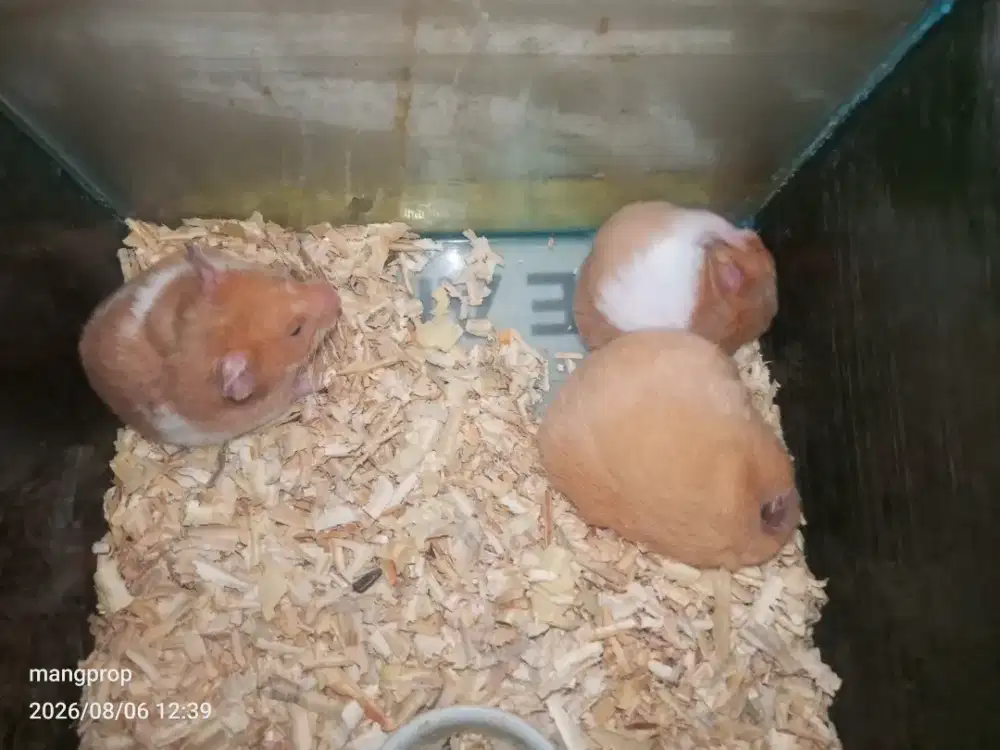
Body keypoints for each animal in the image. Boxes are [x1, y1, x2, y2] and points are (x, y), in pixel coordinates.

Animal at [78, 241, 342, 448]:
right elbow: (301, 386)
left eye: (281, 280)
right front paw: (328, 376)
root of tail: (82, 351)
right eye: (296, 331)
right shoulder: (276, 399)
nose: (337, 297)